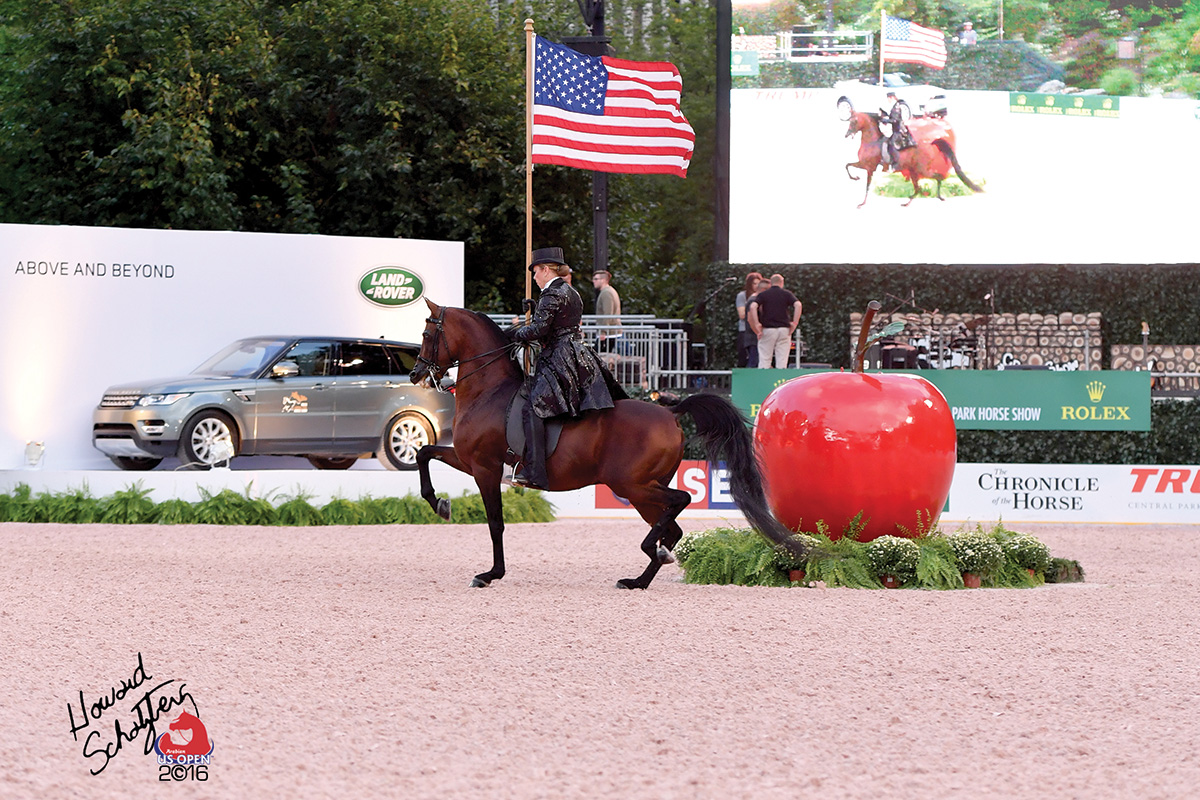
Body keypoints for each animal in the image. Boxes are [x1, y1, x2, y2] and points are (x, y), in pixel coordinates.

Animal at [405, 298, 806, 587]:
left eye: (426, 334)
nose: (415, 374)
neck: (488, 392)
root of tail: (671, 412)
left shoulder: (484, 468)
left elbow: (495, 524)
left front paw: (490, 574)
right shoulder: (466, 459)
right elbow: (425, 453)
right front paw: (438, 503)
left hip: (632, 484)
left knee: (681, 501)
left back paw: (651, 555)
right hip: (642, 490)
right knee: (672, 527)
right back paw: (640, 578)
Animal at [844, 110, 984, 208]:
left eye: (854, 121)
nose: (847, 134)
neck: (872, 142)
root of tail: (931, 144)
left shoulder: (868, 167)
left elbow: (863, 183)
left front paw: (861, 202)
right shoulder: (865, 165)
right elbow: (848, 165)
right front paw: (855, 179)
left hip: (923, 171)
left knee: (938, 177)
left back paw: (939, 196)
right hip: (914, 172)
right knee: (918, 189)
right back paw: (907, 203)